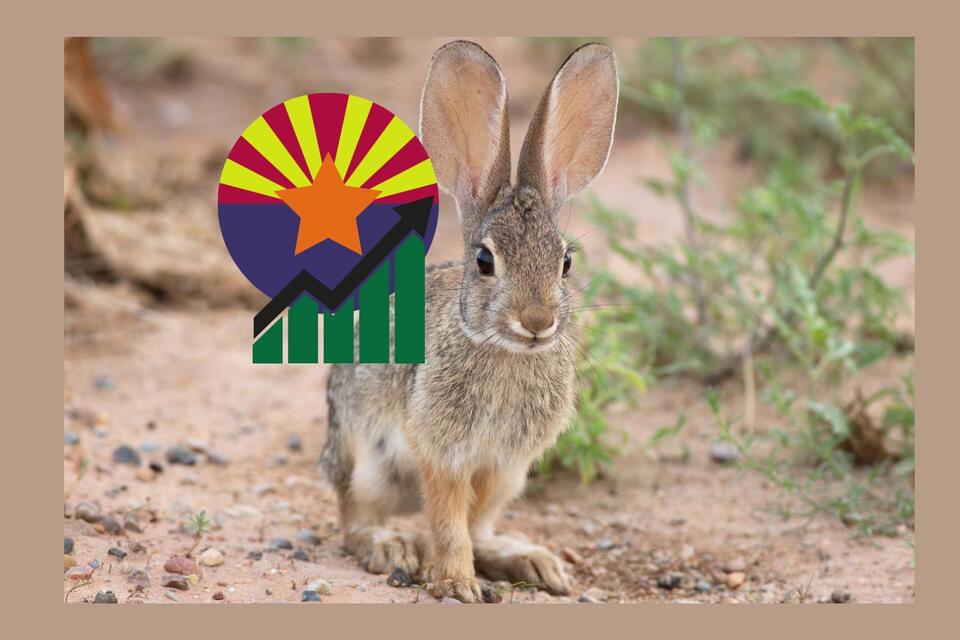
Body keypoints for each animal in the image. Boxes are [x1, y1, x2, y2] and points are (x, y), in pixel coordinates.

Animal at [321, 40, 618, 603]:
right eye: (484, 261)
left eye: (565, 262)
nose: (537, 321)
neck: (504, 351)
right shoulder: (441, 451)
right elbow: (449, 521)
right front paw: (458, 583)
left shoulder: (502, 464)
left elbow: (470, 521)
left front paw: (473, 573)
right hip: (367, 460)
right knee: (353, 521)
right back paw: (392, 547)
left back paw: (531, 562)